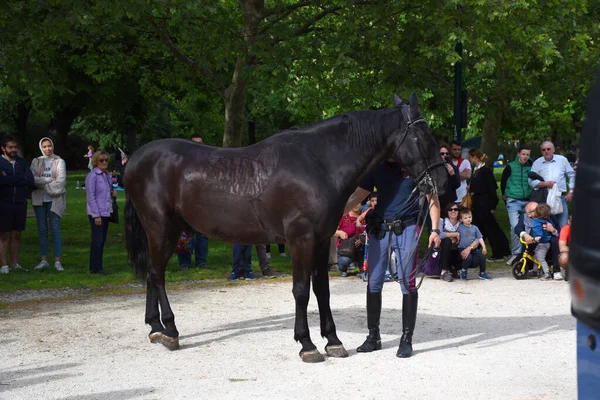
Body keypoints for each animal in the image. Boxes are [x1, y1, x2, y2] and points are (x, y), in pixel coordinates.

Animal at [125, 94, 446, 362]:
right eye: (423, 135)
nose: (442, 180)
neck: (320, 163)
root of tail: (134, 159)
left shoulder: (321, 240)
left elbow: (322, 290)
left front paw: (333, 340)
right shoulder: (300, 240)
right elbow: (301, 290)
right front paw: (307, 344)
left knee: (152, 274)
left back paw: (155, 327)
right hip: (161, 229)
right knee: (157, 274)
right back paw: (169, 330)